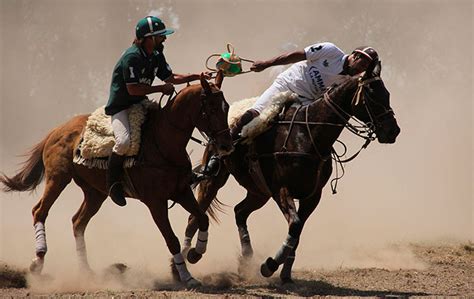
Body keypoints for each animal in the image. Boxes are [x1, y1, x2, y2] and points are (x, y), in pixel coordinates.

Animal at [0, 72, 232, 288]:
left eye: (226, 106)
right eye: (212, 108)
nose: (226, 145)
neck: (163, 143)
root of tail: (56, 130)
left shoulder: (181, 192)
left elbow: (202, 218)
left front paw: (195, 253)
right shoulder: (156, 202)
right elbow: (172, 240)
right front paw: (186, 276)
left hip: (96, 192)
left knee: (78, 222)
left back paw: (86, 272)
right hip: (58, 178)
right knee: (40, 211)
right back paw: (38, 262)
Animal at [185, 62, 400, 284]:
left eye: (387, 93)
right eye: (372, 95)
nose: (393, 131)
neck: (307, 135)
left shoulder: (312, 196)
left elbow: (297, 232)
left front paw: (285, 272)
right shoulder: (282, 189)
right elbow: (295, 225)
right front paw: (270, 265)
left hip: (259, 191)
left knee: (240, 211)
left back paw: (246, 259)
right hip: (217, 180)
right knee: (196, 214)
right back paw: (188, 256)